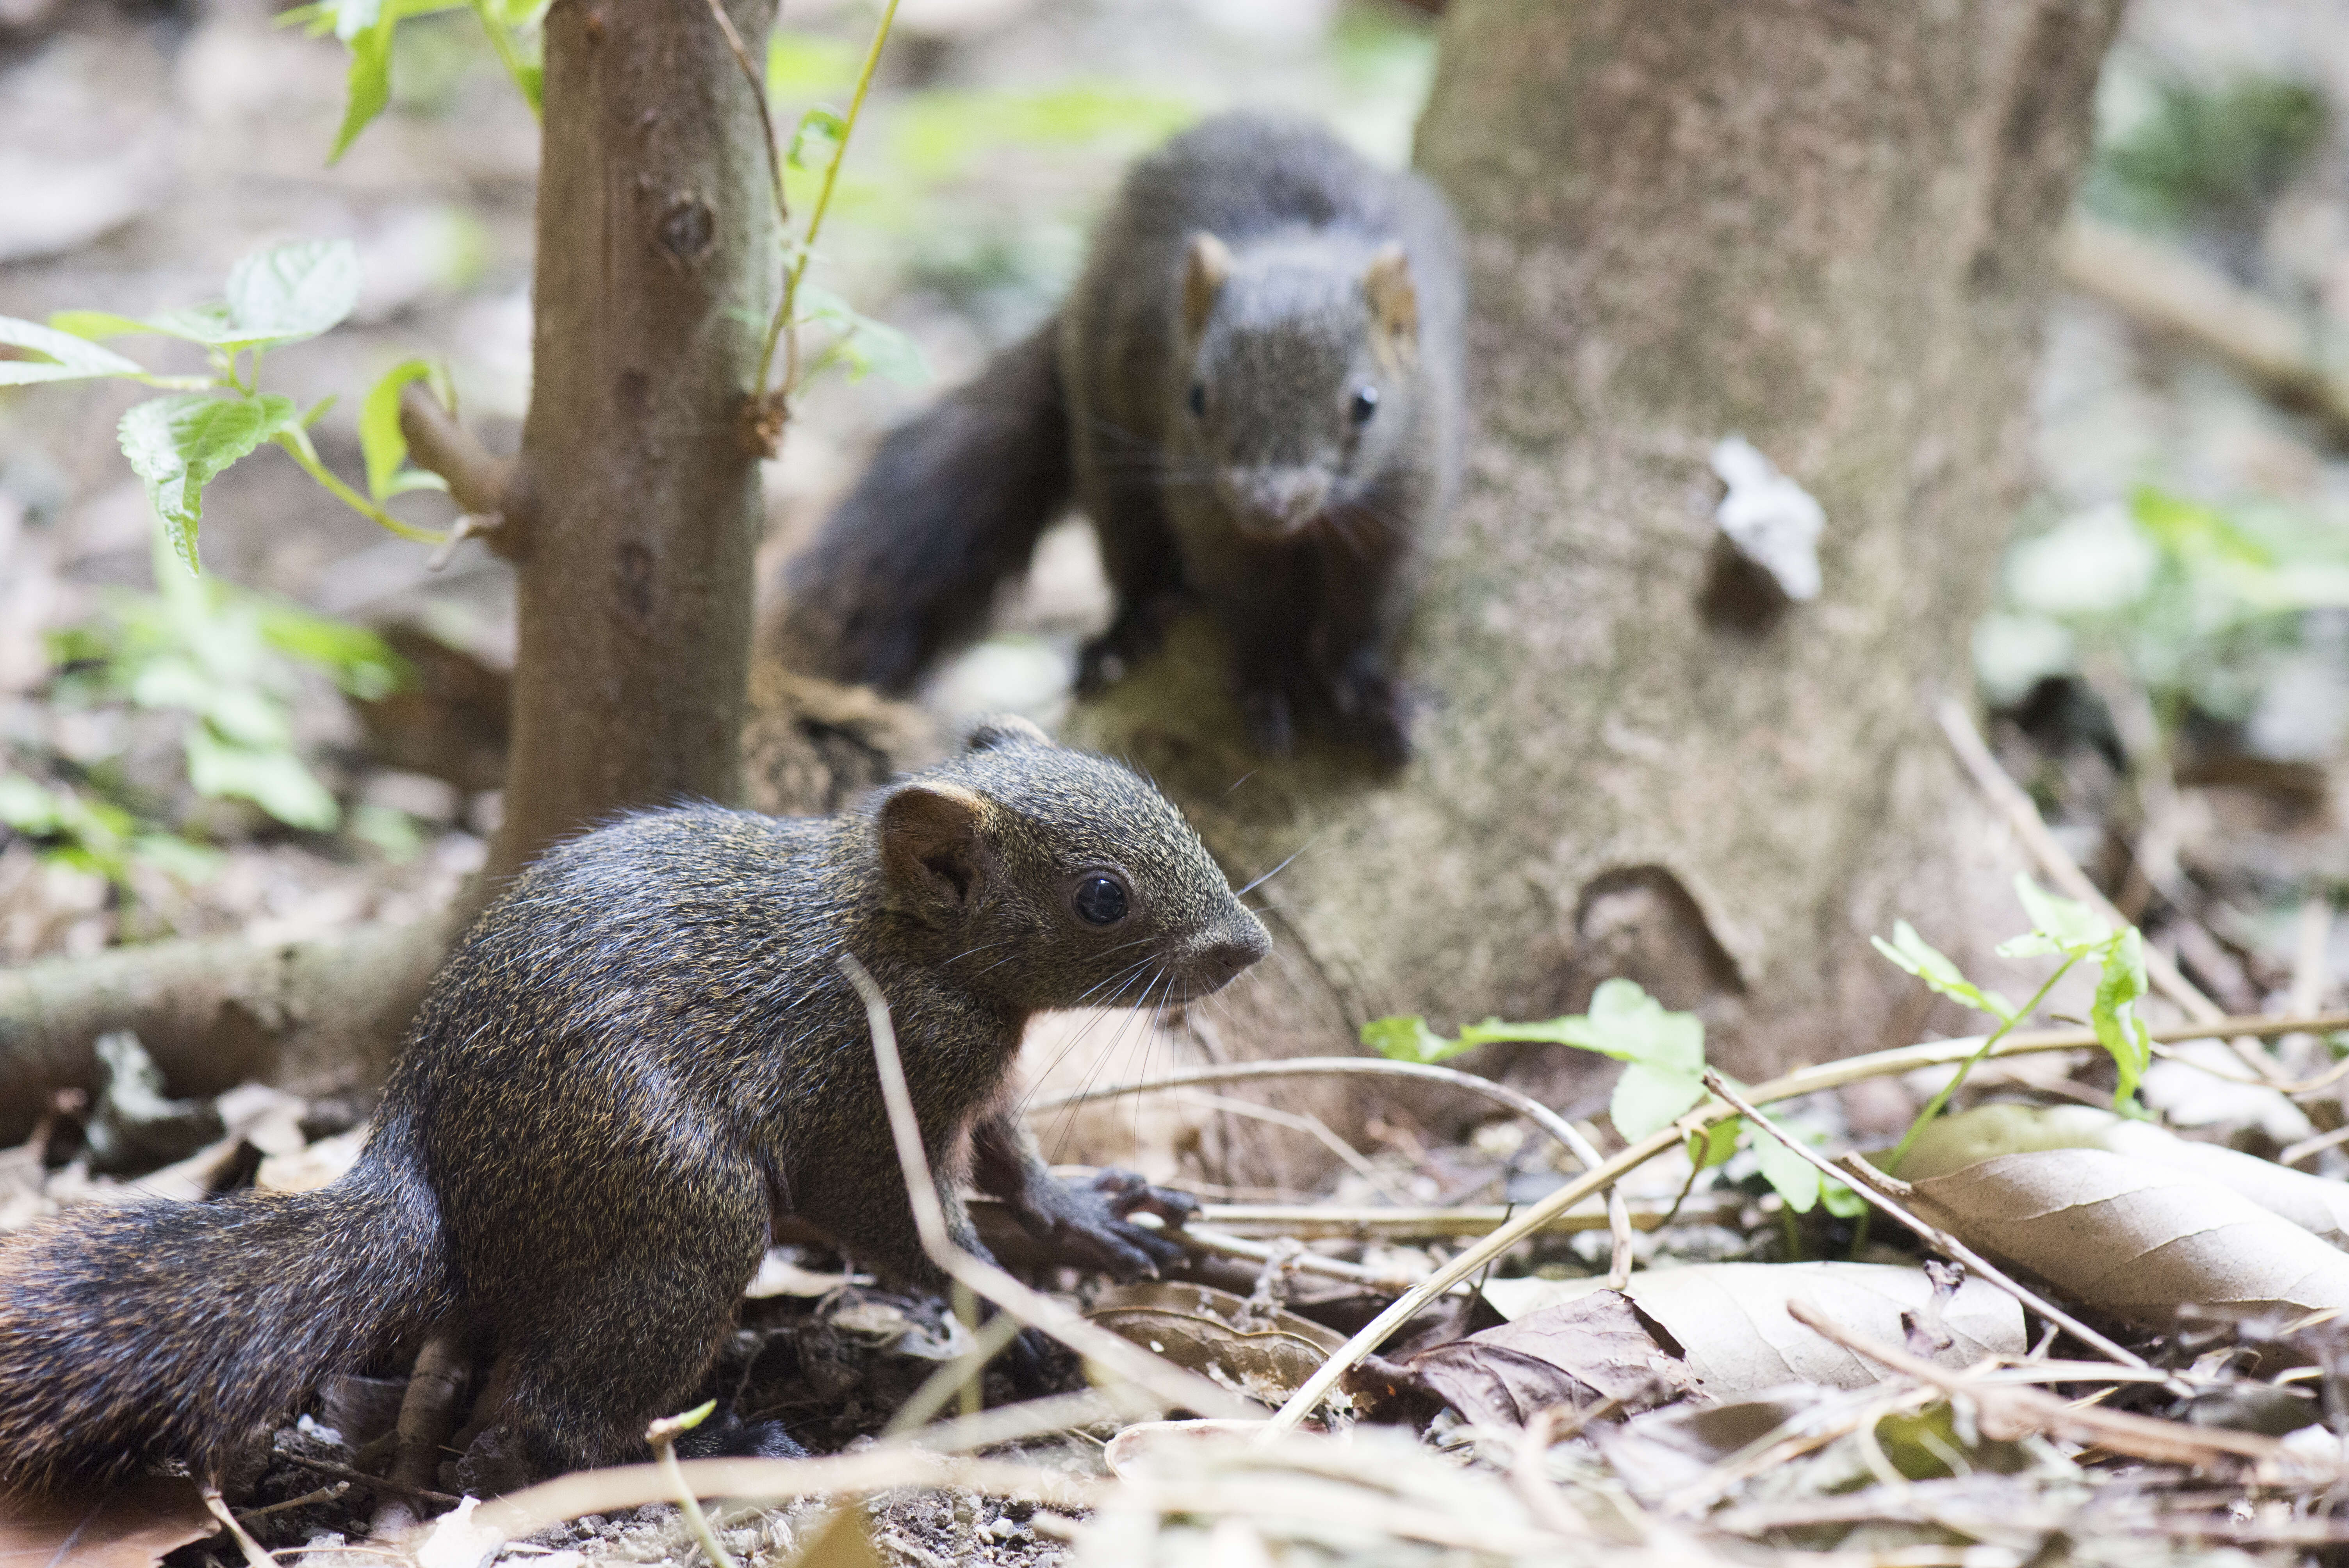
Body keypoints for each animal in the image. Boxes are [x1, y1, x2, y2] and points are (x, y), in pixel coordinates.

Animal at [0, 718, 1268, 1493]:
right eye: (1099, 896)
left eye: (1162, 800)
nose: (1245, 946)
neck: (905, 940)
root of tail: (428, 1180)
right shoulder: (875, 1089)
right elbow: (914, 1227)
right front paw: (1031, 1318)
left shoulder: (974, 1077)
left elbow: (1010, 1157)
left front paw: (1092, 1216)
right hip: (686, 1222)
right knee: (539, 1429)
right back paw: (729, 1443)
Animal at [780, 111, 1456, 770]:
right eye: (1196, 396)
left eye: (1366, 403)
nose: (1266, 504)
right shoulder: (1204, 502)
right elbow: (1249, 602)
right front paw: (1272, 680)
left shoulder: (1406, 499)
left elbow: (1369, 609)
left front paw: (1366, 691)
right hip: (1110, 460)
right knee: (1131, 559)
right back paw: (1124, 634)